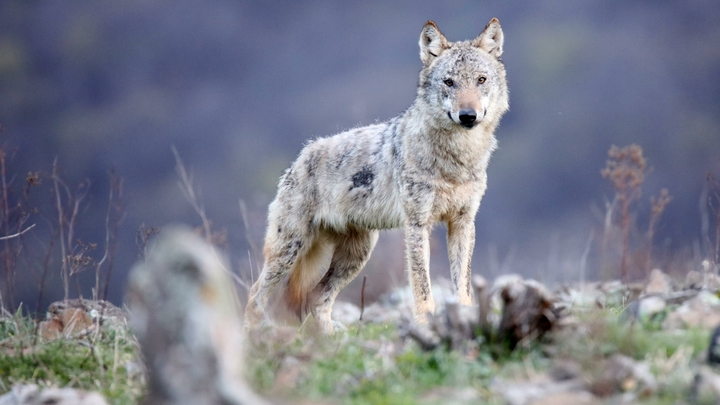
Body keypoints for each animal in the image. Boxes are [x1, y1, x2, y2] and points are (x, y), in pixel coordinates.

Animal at [245, 18, 510, 332]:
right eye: (449, 82)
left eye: (481, 80)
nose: (468, 115)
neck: (457, 159)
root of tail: (299, 158)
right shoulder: (417, 224)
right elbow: (422, 286)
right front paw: (426, 324)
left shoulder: (463, 223)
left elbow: (463, 285)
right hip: (289, 251)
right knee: (256, 294)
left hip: (356, 256)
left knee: (317, 298)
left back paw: (331, 339)